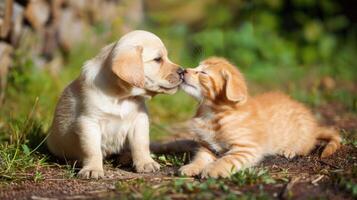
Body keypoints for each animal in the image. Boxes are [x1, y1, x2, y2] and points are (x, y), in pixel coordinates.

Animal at [46, 30, 184, 178]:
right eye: (158, 59)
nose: (182, 71)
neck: (121, 97)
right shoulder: (89, 122)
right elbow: (92, 150)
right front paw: (92, 169)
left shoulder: (139, 120)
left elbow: (141, 144)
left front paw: (146, 162)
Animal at [178, 57, 340, 177]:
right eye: (196, 67)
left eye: (203, 73)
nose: (183, 70)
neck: (212, 114)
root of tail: (314, 128)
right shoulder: (207, 146)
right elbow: (201, 157)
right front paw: (192, 167)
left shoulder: (246, 148)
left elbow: (227, 159)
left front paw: (213, 169)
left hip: (303, 136)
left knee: (306, 147)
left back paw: (289, 150)